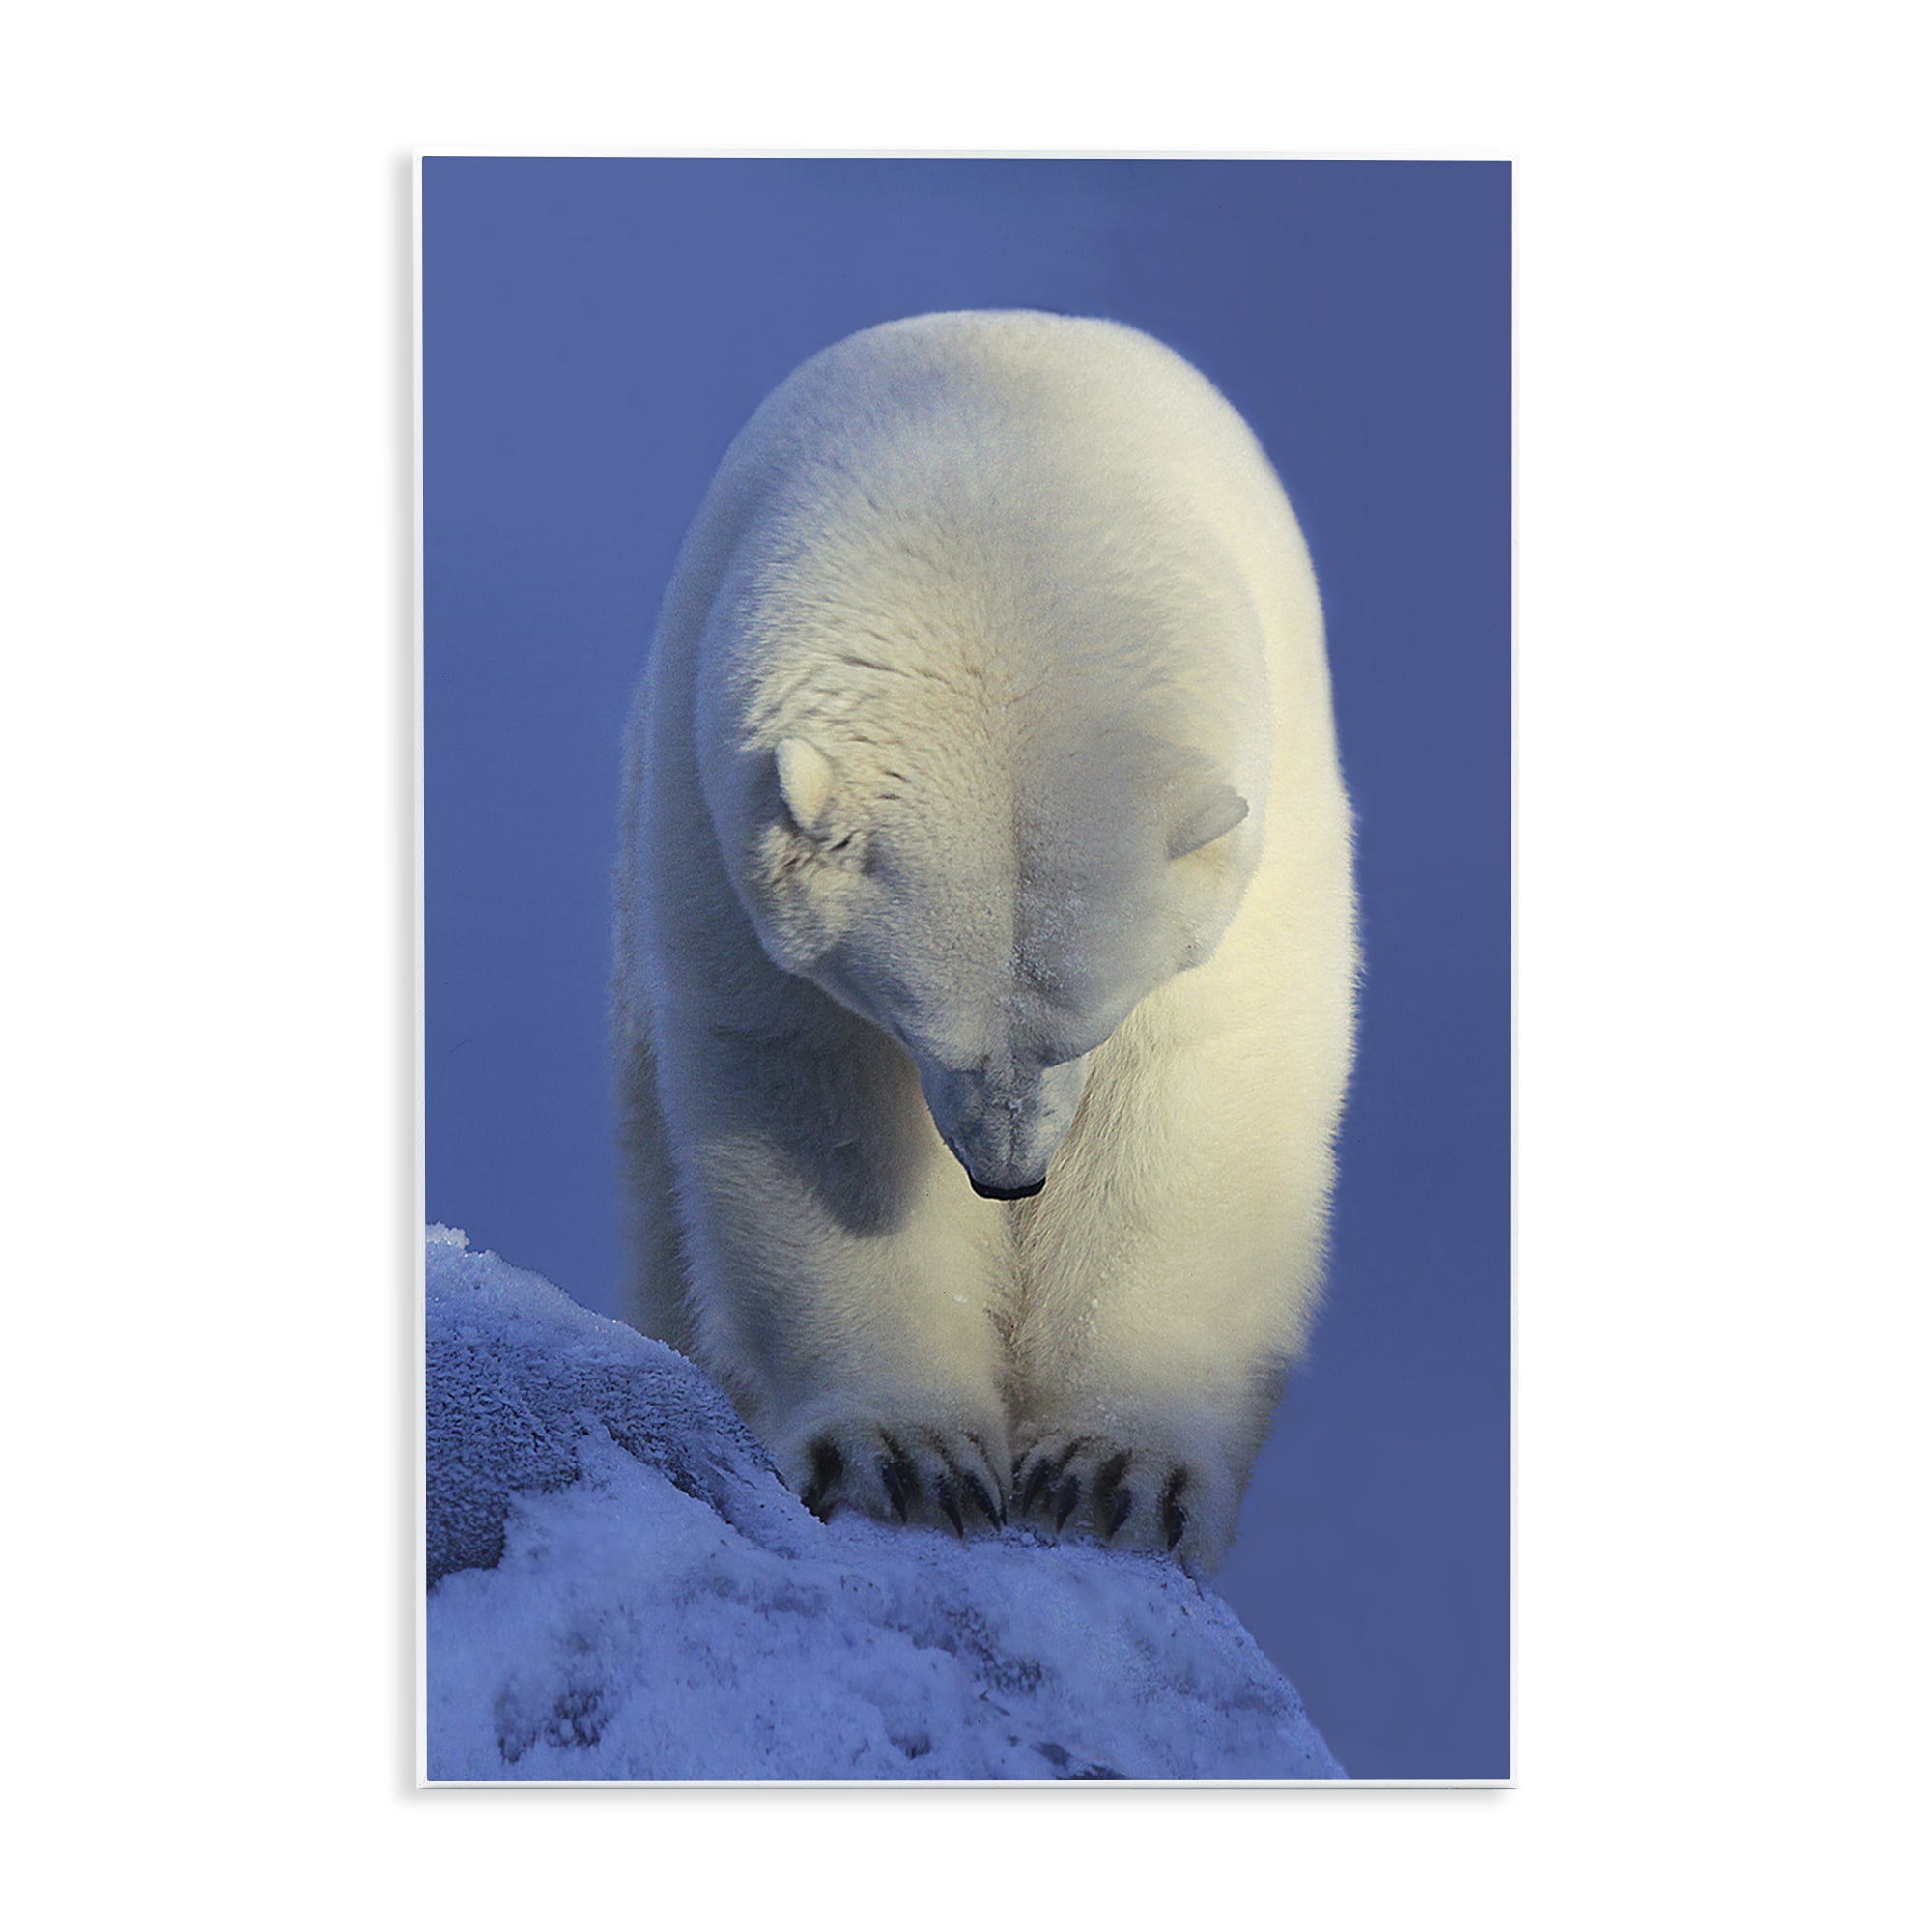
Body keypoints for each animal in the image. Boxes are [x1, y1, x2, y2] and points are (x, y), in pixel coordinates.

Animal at [613, 311, 1356, 1571]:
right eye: (915, 1021)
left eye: (1088, 1024)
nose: (1009, 1176)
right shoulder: (711, 824)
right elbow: (811, 1100)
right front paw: (904, 1460)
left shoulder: (1265, 828)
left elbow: (1200, 1095)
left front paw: (1113, 1475)